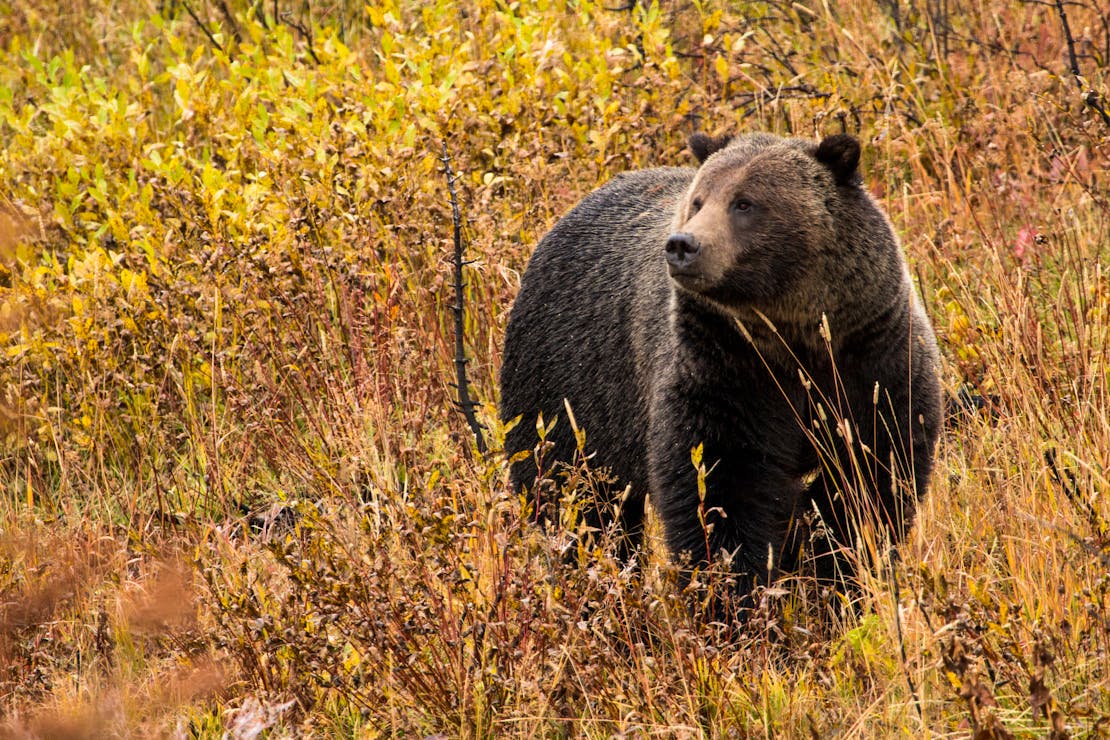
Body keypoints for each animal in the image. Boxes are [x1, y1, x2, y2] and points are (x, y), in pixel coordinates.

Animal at [499, 133, 941, 603]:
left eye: (744, 203)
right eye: (698, 201)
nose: (682, 245)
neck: (795, 341)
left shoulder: (873, 360)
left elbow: (870, 478)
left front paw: (835, 577)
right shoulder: (724, 368)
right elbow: (720, 485)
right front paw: (733, 590)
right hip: (568, 385)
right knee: (578, 497)